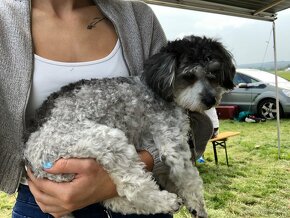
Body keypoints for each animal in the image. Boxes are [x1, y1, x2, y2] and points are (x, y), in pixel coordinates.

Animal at [23, 35, 236, 217]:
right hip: (103, 141)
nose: (210, 100)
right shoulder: (171, 138)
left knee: (114, 199)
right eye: (189, 76)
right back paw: (167, 202)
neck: (157, 89)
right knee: (134, 187)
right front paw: (197, 206)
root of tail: (30, 161)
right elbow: (189, 177)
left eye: (214, 73)